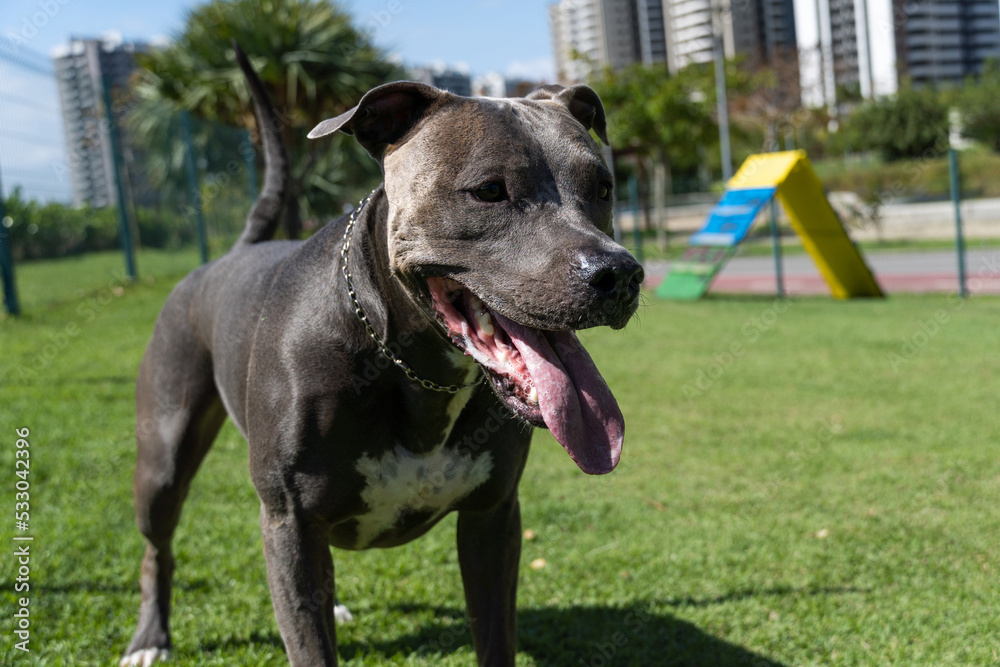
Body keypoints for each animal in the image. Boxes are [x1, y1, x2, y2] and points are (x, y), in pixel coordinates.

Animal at [123, 47, 640, 667]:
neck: (410, 366)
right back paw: (150, 638)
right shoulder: (290, 523)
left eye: (603, 188)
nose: (619, 273)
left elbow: (495, 635)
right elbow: (310, 645)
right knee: (158, 546)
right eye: (490, 191)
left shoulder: (491, 520)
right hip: (163, 458)